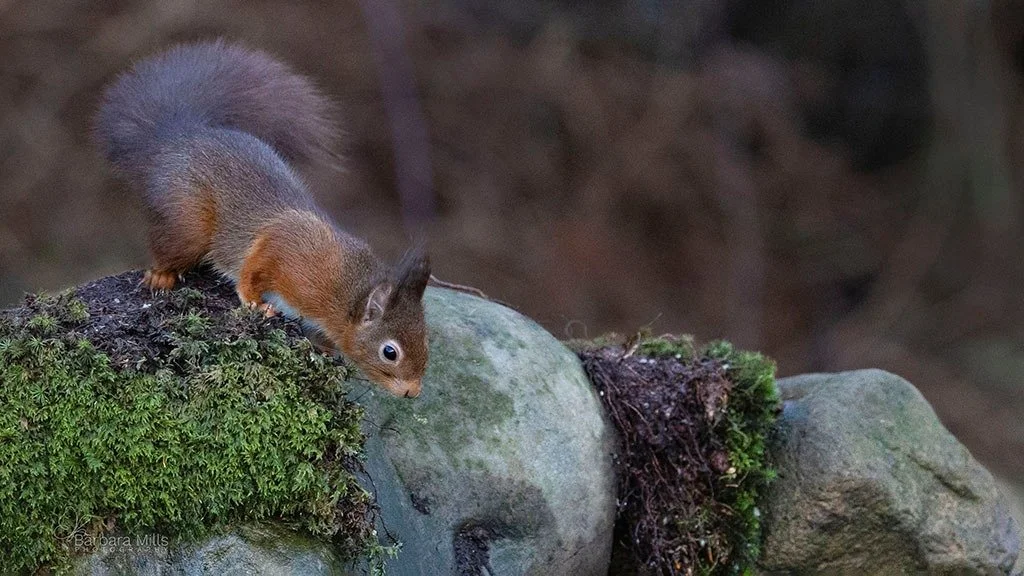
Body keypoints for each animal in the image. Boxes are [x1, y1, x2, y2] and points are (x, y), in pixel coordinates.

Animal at [94, 41, 430, 398]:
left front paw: (323, 347)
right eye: (390, 352)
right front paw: (255, 302)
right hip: (187, 222)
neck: (344, 288)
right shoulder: (287, 246)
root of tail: (176, 138)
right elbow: (253, 266)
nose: (412, 392)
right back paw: (161, 275)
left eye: (426, 340)